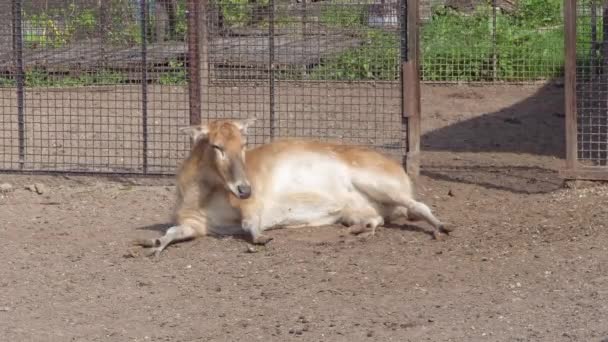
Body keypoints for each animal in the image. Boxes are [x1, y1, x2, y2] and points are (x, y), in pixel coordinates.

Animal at [135, 118, 448, 256]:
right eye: (216, 145)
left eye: (244, 143)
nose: (244, 188)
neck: (203, 195)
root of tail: (398, 168)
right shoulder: (195, 225)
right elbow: (172, 232)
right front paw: (153, 243)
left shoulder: (253, 206)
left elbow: (250, 226)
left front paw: (263, 238)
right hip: (356, 209)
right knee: (377, 219)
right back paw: (358, 231)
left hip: (379, 183)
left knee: (419, 204)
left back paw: (442, 227)